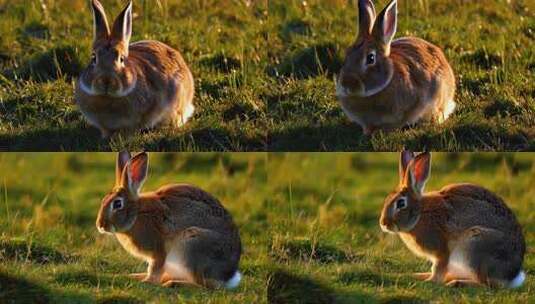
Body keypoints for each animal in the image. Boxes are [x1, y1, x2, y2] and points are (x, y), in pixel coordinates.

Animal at [96, 152, 243, 290]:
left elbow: (155, 268)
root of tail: (228, 276)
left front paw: (148, 282)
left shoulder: (159, 250)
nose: (100, 225)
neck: (137, 214)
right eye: (103, 200)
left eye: (117, 204)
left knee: (205, 285)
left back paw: (171, 283)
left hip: (192, 244)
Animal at [382, 151, 528, 288]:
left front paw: (431, 281)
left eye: (401, 203)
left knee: (486, 284)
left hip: (475, 246)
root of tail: (511, 276)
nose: (383, 224)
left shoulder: (442, 250)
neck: (420, 214)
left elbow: (438, 268)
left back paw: (456, 283)